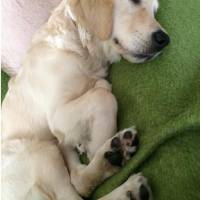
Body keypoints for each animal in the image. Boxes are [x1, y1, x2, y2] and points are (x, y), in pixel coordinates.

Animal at [1, 0, 169, 199]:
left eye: (155, 11)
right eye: (135, 2)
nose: (164, 39)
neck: (81, 48)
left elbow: (101, 87)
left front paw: (85, 142)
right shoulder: (57, 115)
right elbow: (103, 96)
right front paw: (96, 144)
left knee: (78, 180)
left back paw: (114, 156)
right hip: (39, 151)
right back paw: (125, 181)